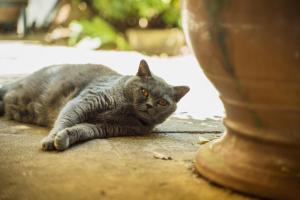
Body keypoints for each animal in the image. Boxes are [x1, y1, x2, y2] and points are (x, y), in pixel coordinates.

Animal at [0, 60, 189, 151]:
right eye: (144, 92)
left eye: (162, 102)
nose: (149, 105)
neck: (125, 111)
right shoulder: (85, 101)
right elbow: (65, 120)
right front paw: (50, 140)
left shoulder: (104, 127)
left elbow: (81, 130)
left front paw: (63, 139)